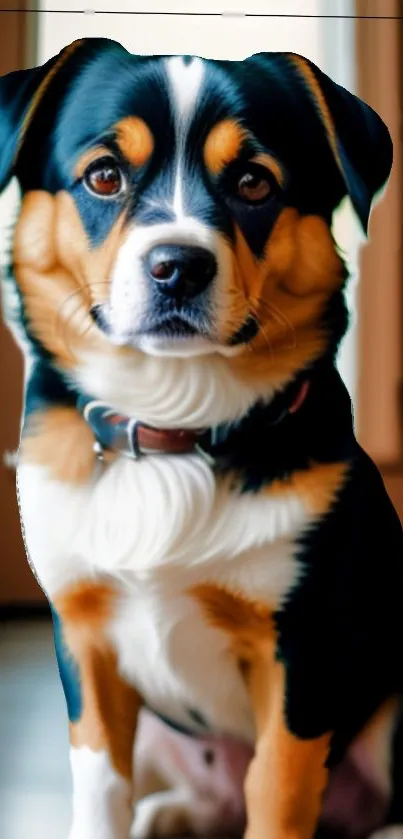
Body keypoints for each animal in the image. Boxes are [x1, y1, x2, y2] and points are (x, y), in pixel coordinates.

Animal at [0, 37, 403, 839]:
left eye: (253, 181)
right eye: (103, 175)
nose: (177, 266)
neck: (172, 424)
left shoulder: (299, 648)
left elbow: (276, 791)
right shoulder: (86, 638)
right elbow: (101, 784)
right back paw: (171, 813)